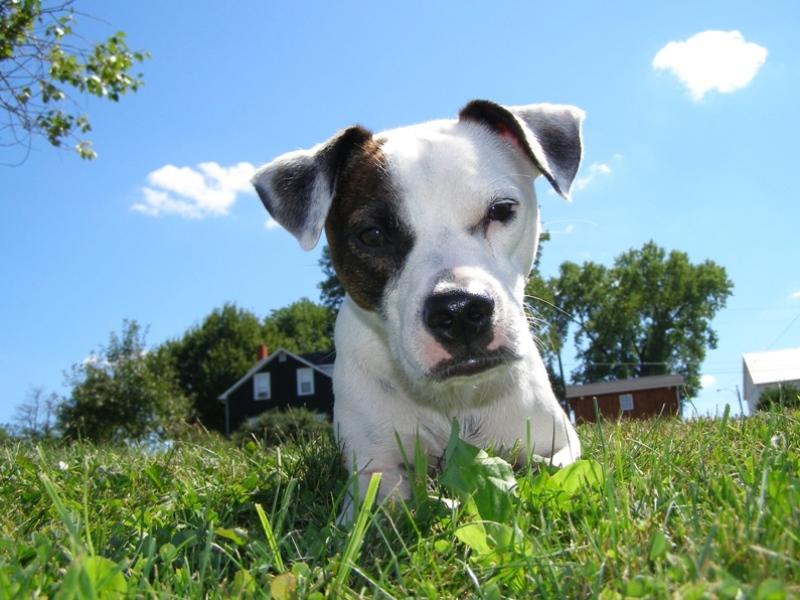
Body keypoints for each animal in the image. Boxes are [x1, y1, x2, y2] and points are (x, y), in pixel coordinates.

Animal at [252, 99, 583, 511]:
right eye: (372, 234)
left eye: (502, 210)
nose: (459, 311)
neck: (456, 403)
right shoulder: (373, 468)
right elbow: (389, 500)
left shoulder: (560, 443)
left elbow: (548, 466)